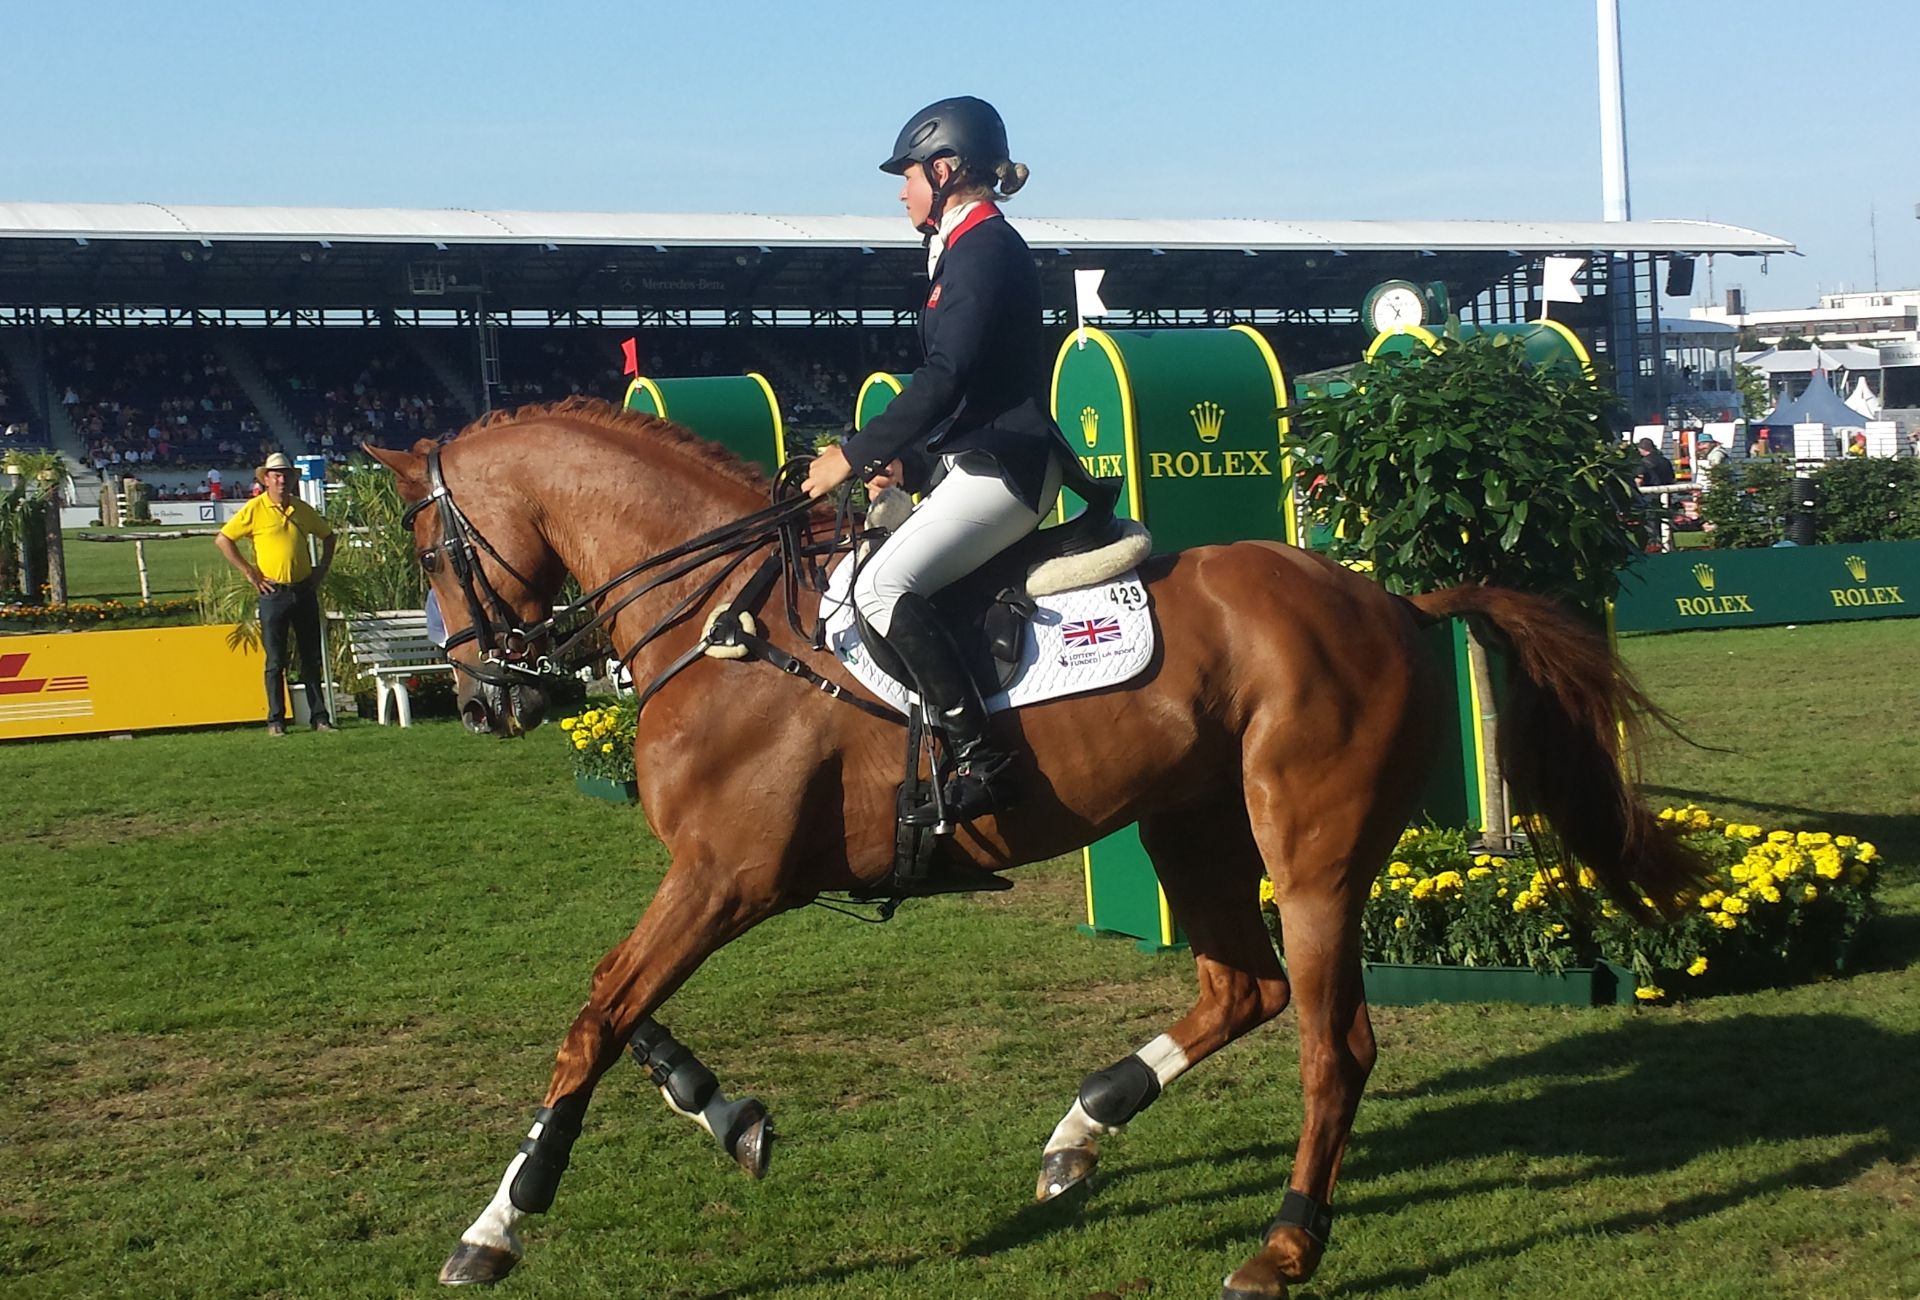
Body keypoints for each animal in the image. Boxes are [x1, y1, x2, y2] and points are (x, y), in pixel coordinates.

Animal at [370, 401, 1697, 1290]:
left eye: (433, 551)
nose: (484, 699)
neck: (727, 617)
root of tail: (1391, 598)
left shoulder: (726, 877)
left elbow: (594, 1016)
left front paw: (497, 1226)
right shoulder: (716, 878)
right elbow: (618, 1006)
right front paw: (728, 1115)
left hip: (1312, 852)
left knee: (1336, 1044)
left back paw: (1281, 1243)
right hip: (1188, 822)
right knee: (1244, 989)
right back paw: (1081, 1133)